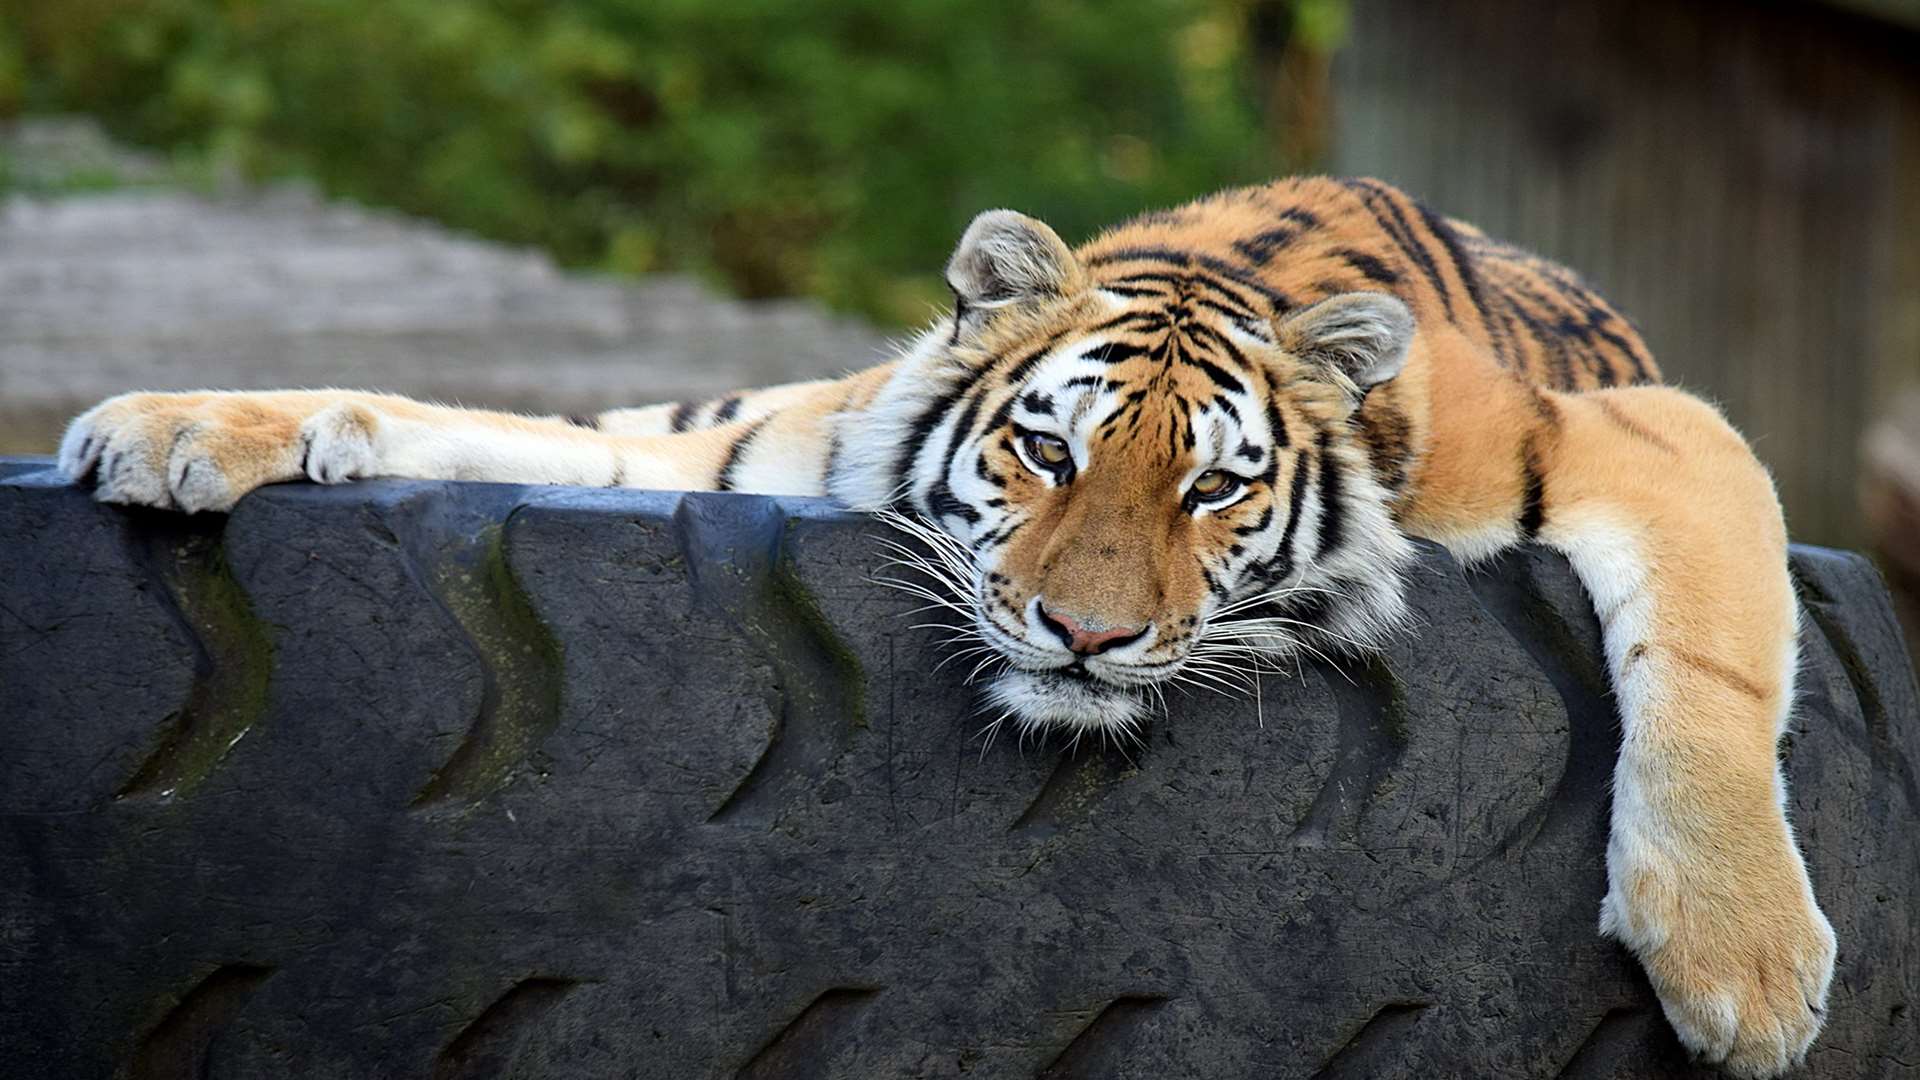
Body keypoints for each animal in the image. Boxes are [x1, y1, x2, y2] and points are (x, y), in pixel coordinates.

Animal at [56, 174, 1827, 1068]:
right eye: (1046, 452)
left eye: (1212, 491)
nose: (1085, 637)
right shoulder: (741, 450)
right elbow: (500, 433)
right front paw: (188, 424)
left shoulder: (1656, 433)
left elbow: (1719, 660)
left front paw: (1744, 968)